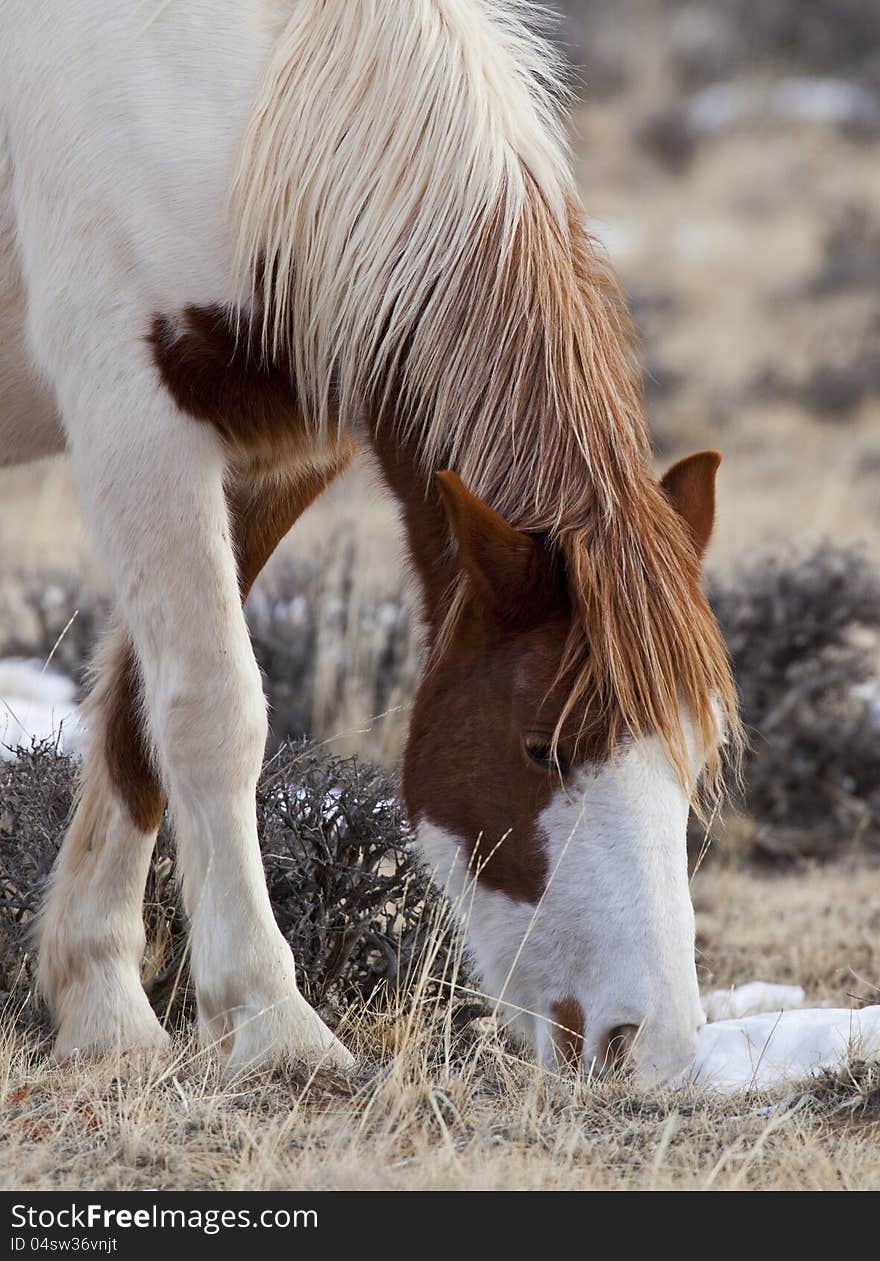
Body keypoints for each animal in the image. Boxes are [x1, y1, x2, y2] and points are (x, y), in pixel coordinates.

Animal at [3, 0, 736, 1084]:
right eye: (543, 747)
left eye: (697, 751)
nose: (651, 1050)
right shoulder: (132, 415)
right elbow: (214, 712)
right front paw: (272, 1023)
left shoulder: (280, 451)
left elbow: (136, 715)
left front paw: (100, 1005)